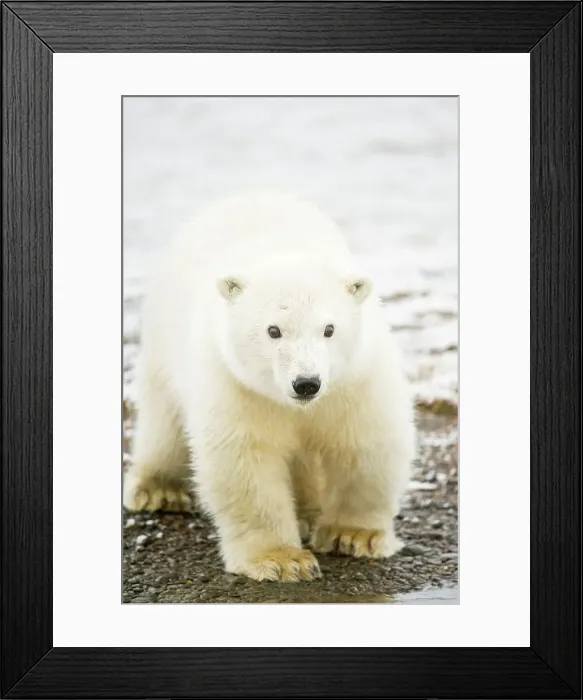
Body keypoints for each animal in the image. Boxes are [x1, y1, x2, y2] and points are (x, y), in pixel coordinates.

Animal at [123, 191, 415, 582]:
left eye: (329, 329)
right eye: (273, 330)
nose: (306, 383)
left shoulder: (354, 380)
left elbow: (365, 442)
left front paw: (353, 536)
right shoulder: (237, 386)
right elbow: (246, 461)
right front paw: (283, 559)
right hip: (164, 335)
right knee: (164, 416)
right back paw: (160, 490)